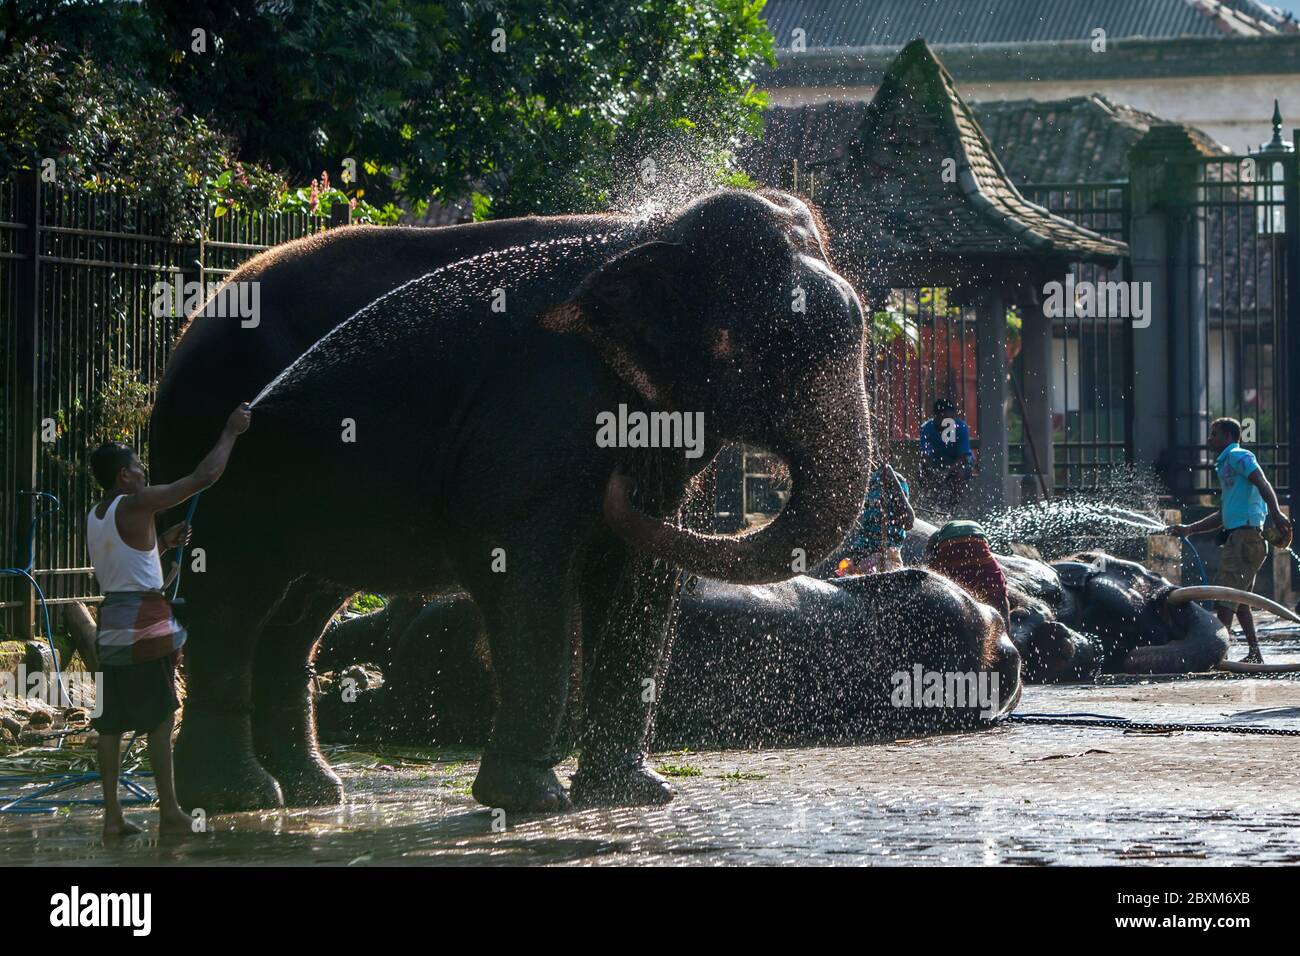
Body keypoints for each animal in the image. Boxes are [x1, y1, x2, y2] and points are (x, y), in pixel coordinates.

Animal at [149, 188, 873, 816]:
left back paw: (310, 792)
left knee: (296, 612)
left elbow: (638, 577)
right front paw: (532, 802)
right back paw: (240, 798)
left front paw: (634, 796)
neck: (649, 234)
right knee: (234, 598)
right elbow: (519, 563)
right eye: (783, 346)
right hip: (216, 453)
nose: (616, 484)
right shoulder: (544, 406)